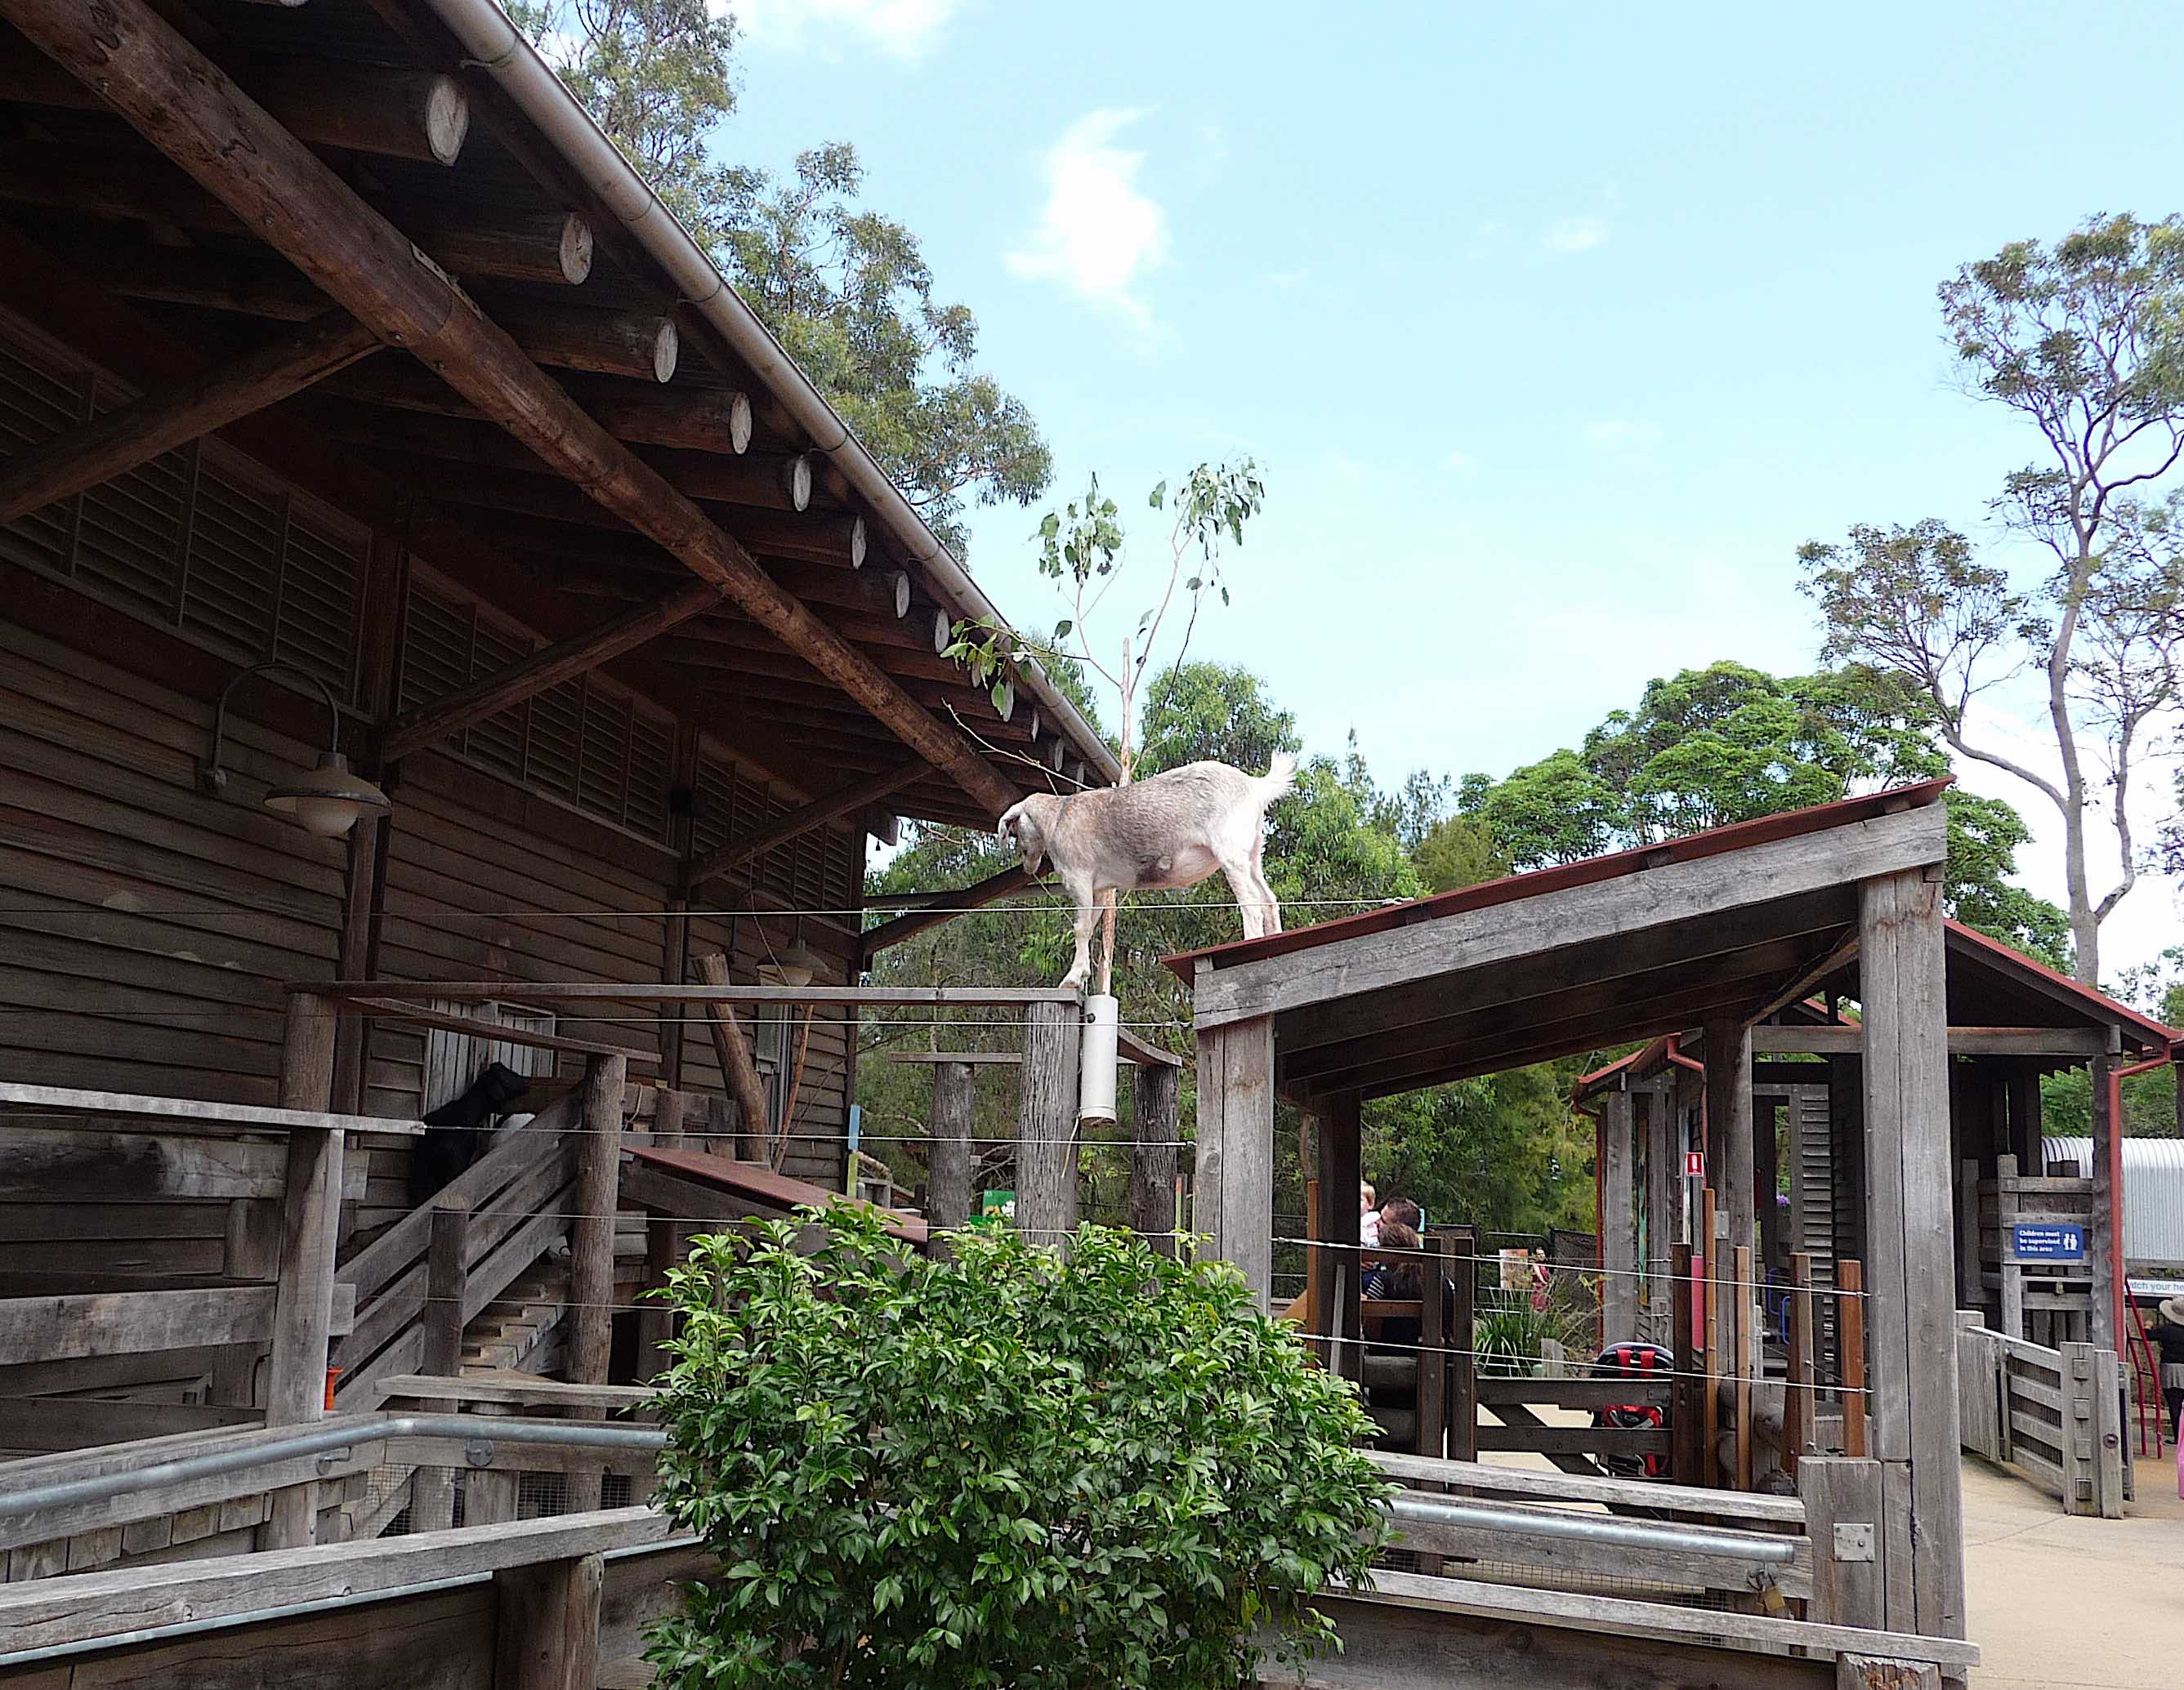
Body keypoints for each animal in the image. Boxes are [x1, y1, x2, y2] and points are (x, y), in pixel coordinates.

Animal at [998, 754, 1297, 990]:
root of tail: (1255, 786)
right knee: (1268, 900)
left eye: (1015, 829)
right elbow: (1091, 925)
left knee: (1252, 906)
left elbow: (1080, 928)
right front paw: (1081, 975)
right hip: (1252, 852)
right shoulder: (1099, 888)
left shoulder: (1079, 877)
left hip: (1231, 851)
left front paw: (1071, 979)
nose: (1027, 867)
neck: (1057, 818)